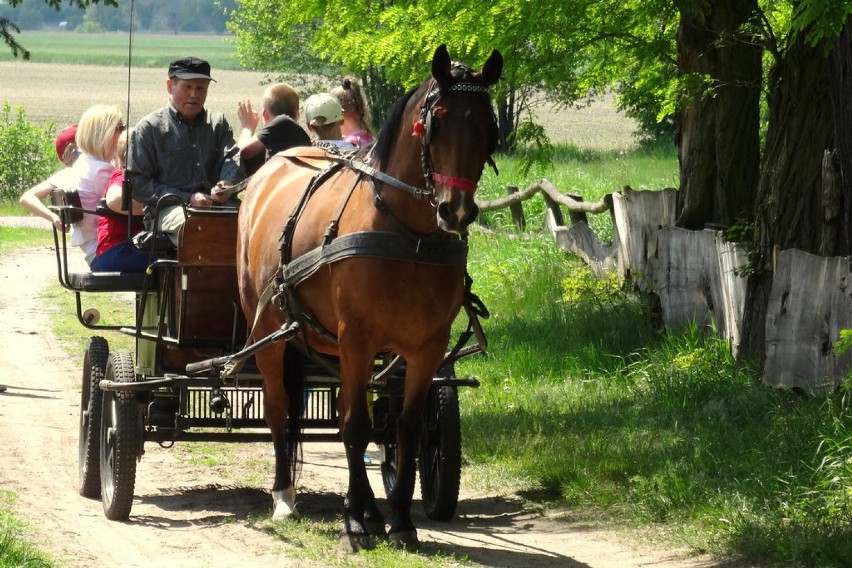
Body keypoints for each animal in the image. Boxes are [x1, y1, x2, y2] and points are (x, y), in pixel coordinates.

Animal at [236, 44, 502, 552]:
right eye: (437, 120)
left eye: (488, 125)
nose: (455, 211)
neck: (407, 235)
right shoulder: (357, 338)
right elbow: (355, 426)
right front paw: (357, 522)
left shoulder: (426, 347)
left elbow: (406, 428)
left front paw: (398, 520)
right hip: (269, 332)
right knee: (280, 409)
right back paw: (284, 496)